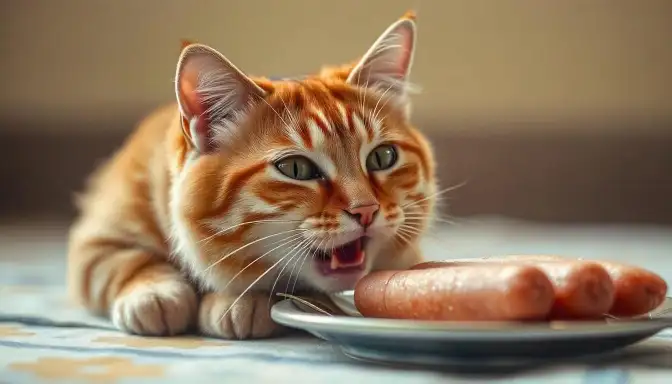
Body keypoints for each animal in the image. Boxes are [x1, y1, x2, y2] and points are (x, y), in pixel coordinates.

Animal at [67, 11, 436, 340]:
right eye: (296, 169)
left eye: (382, 157)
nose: (366, 210)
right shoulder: (95, 239)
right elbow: (125, 261)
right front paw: (154, 294)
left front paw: (246, 303)